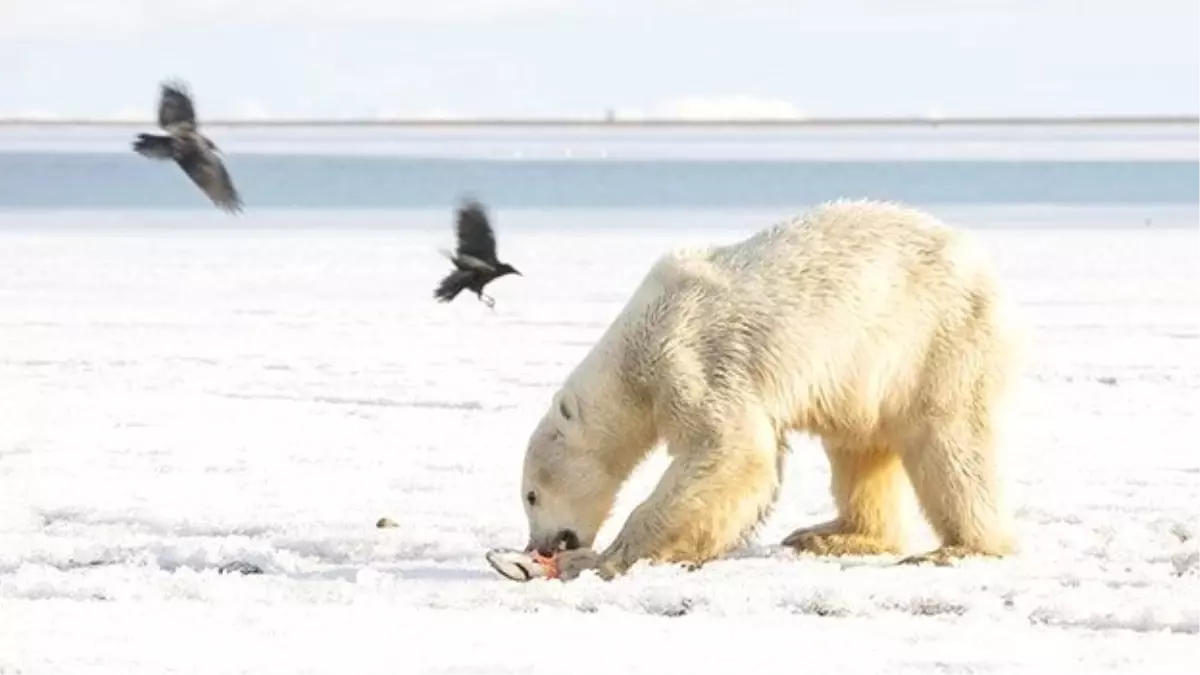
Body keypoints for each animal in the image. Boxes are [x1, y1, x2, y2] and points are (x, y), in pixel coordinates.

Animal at [516, 198, 1022, 578]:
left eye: (530, 495)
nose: (537, 545)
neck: (639, 341)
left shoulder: (694, 358)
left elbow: (729, 450)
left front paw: (602, 559)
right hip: (867, 375)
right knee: (859, 446)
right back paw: (830, 534)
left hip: (935, 339)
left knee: (949, 443)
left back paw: (958, 547)